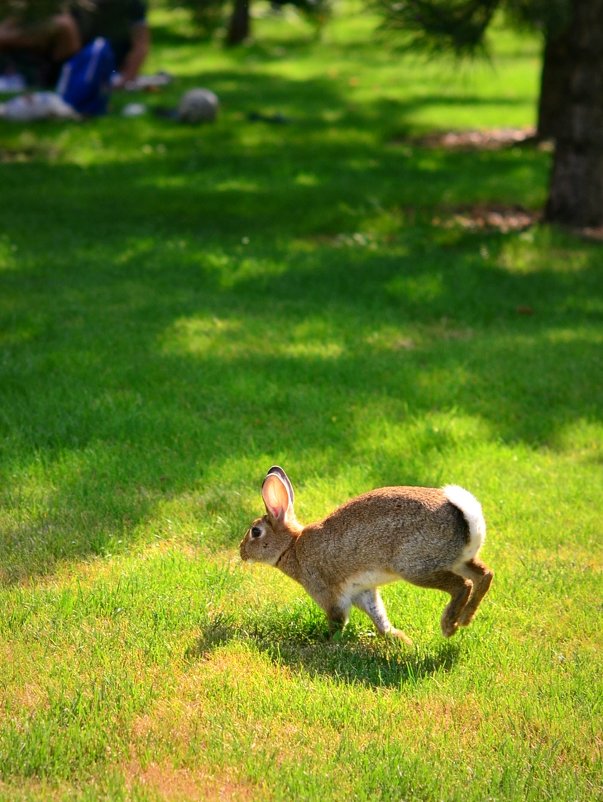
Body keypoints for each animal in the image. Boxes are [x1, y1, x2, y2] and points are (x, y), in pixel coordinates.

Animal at [238, 466, 494, 640]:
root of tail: (468, 522)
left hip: (416, 566)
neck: (292, 546)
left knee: (462, 585)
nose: (241, 551)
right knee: (484, 575)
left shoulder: (327, 592)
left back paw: (449, 626)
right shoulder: (362, 591)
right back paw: (465, 618)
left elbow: (338, 618)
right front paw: (399, 638)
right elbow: (377, 614)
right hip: (457, 559)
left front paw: (329, 639)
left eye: (255, 531)